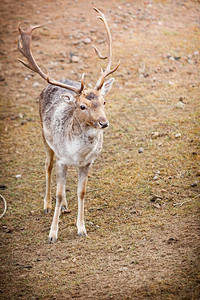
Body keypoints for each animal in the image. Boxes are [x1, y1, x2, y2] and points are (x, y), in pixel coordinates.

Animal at [17, 7, 119, 244]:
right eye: (82, 106)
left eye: (104, 101)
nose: (104, 123)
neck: (77, 153)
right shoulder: (63, 159)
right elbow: (59, 191)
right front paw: (52, 234)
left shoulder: (88, 163)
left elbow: (81, 192)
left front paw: (81, 228)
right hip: (44, 138)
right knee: (47, 166)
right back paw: (47, 205)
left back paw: (63, 206)